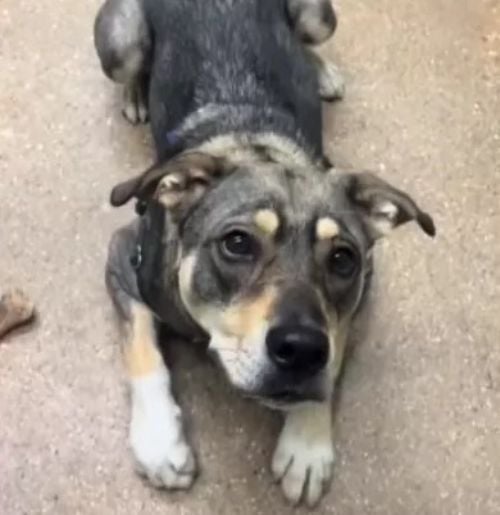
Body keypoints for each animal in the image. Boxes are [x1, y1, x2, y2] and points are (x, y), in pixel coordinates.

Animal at [93, 0, 434, 508]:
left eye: (343, 259)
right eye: (237, 243)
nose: (301, 351)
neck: (253, 147)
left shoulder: (363, 288)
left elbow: (334, 349)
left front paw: (306, 446)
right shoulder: (124, 260)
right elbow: (142, 350)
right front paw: (159, 442)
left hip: (319, 17)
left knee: (308, 40)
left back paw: (322, 73)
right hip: (122, 42)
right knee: (131, 66)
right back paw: (136, 95)